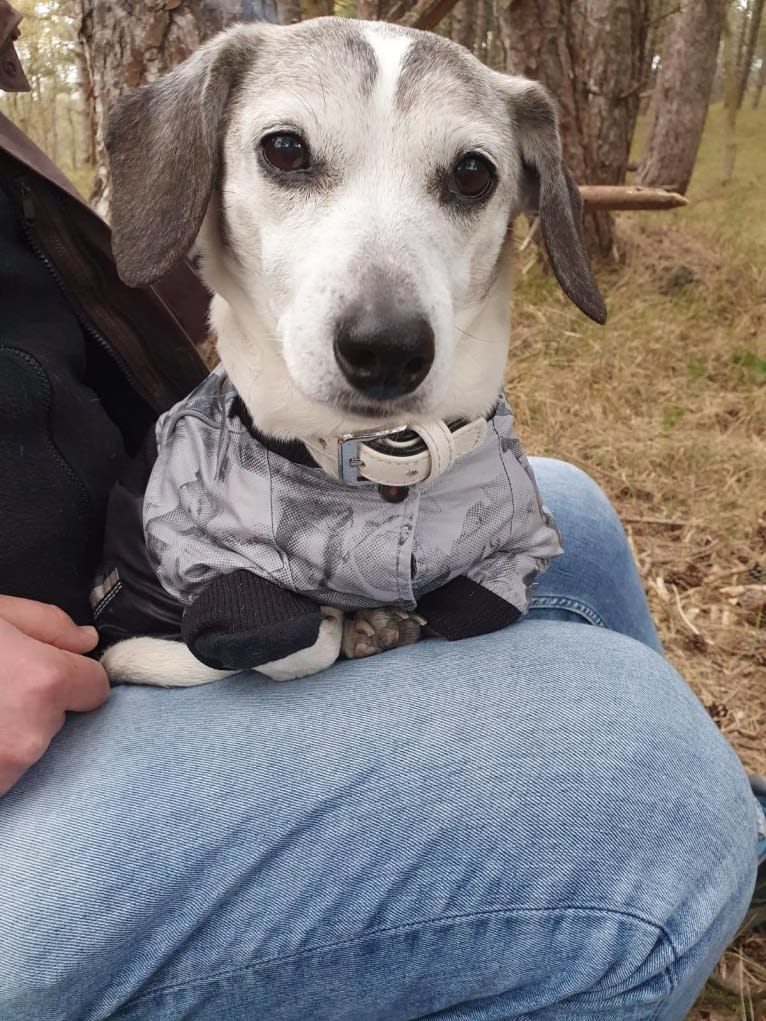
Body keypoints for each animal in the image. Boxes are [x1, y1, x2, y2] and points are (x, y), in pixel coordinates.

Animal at [94, 13, 604, 686]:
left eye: (473, 172)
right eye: (285, 148)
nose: (387, 349)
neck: (380, 460)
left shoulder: (513, 556)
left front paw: (383, 621)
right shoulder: (210, 574)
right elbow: (298, 643)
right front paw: (346, 622)